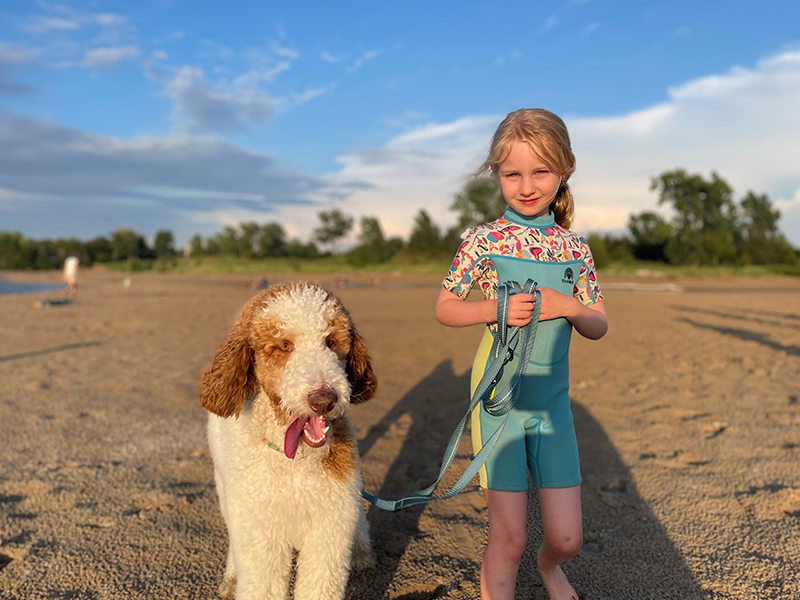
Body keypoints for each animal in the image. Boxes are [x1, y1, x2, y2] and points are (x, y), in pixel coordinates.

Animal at [198, 282, 376, 600]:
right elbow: (262, 584)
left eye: (331, 341)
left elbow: (320, 583)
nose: (324, 399)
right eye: (284, 346)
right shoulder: (262, 534)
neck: (294, 459)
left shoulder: (329, 527)